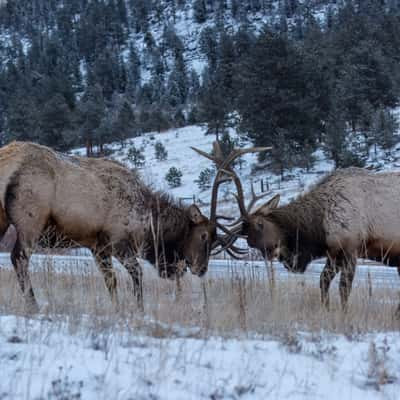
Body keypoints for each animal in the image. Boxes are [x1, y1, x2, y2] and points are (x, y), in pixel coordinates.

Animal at [0, 141, 244, 312]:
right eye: (204, 236)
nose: (201, 269)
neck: (147, 223)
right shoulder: (117, 239)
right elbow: (136, 274)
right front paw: (139, 310)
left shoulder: (97, 246)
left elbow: (111, 281)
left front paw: (117, 309)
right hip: (31, 219)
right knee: (18, 257)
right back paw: (33, 305)